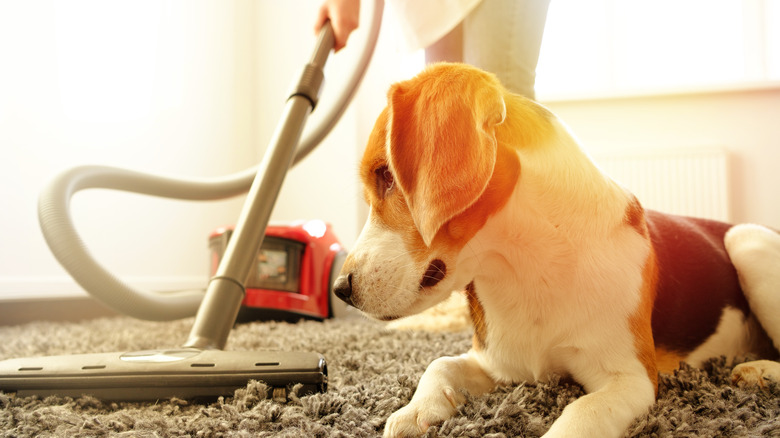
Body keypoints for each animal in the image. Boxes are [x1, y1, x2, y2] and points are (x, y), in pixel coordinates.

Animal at [334, 62, 780, 438]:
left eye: (386, 175)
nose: (340, 289)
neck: (528, 264)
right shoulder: (497, 363)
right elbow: (438, 364)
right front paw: (415, 411)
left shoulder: (632, 379)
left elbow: (582, 412)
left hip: (747, 241)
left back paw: (758, 371)